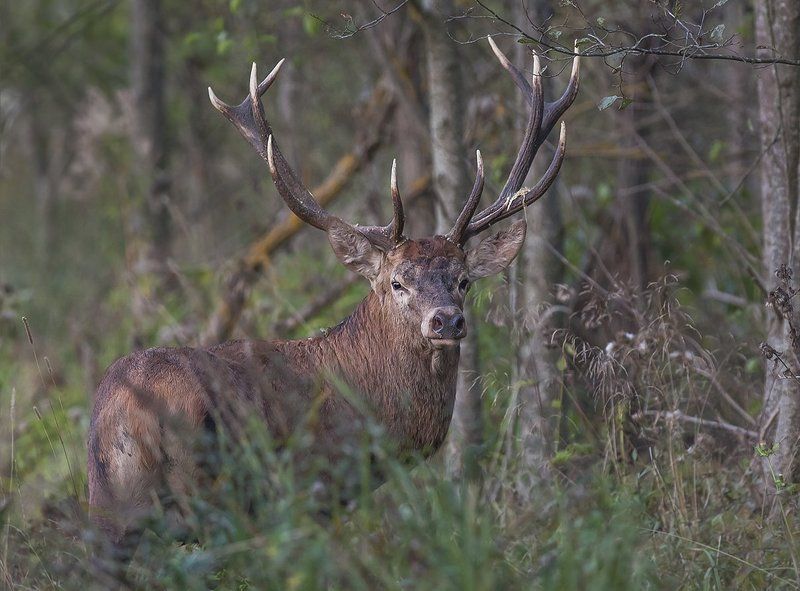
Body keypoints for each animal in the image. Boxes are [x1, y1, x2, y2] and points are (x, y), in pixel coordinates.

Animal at [87, 38, 579, 545]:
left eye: (463, 280)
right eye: (396, 282)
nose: (446, 320)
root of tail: (127, 413)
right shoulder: (319, 485)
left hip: (110, 505)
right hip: (212, 492)